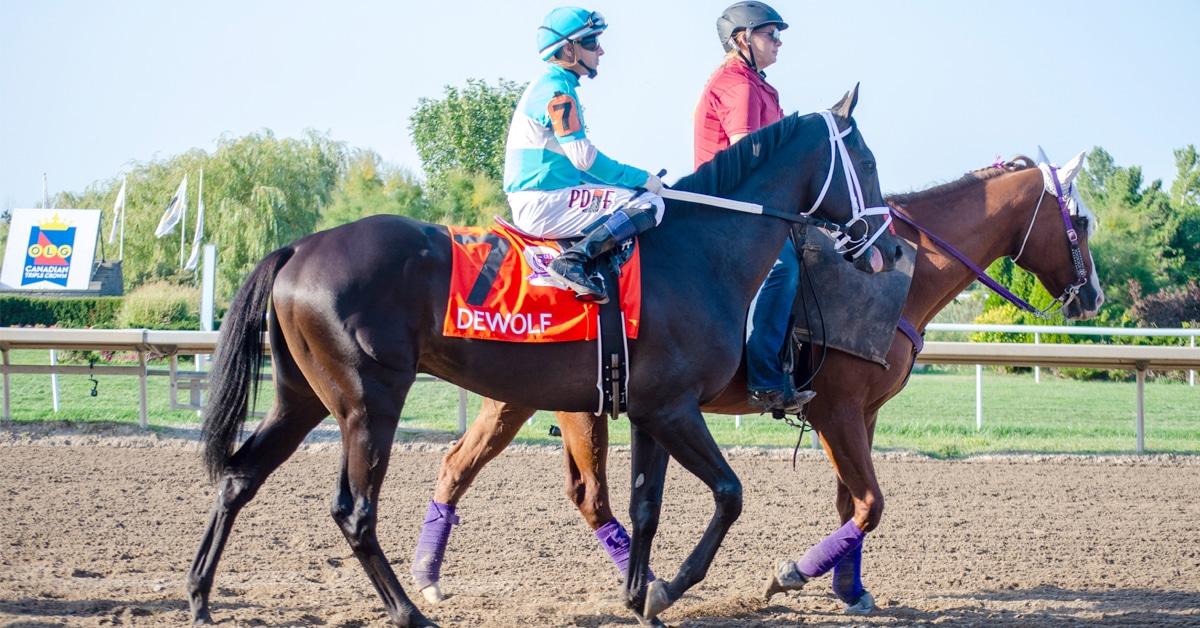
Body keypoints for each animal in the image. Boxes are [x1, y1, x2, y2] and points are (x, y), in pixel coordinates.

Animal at [185, 85, 907, 627]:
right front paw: (668, 589)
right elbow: (730, 495)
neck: (700, 253)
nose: (891, 248)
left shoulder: (651, 411)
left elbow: (646, 507)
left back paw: (198, 598)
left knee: (241, 477)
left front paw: (640, 595)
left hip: (304, 397)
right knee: (355, 513)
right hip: (370, 402)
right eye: (868, 163)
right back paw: (410, 611)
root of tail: (299, 247)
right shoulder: (676, 410)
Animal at [414, 153, 1104, 616]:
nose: (1093, 295)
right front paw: (790, 575)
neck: (896, 274)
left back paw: (429, 574)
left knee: (457, 463)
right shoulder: (835, 410)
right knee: (589, 496)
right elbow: (870, 503)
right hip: (579, 406)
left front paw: (850, 587)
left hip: (516, 393)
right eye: (1084, 220)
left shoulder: (863, 414)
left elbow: (852, 503)